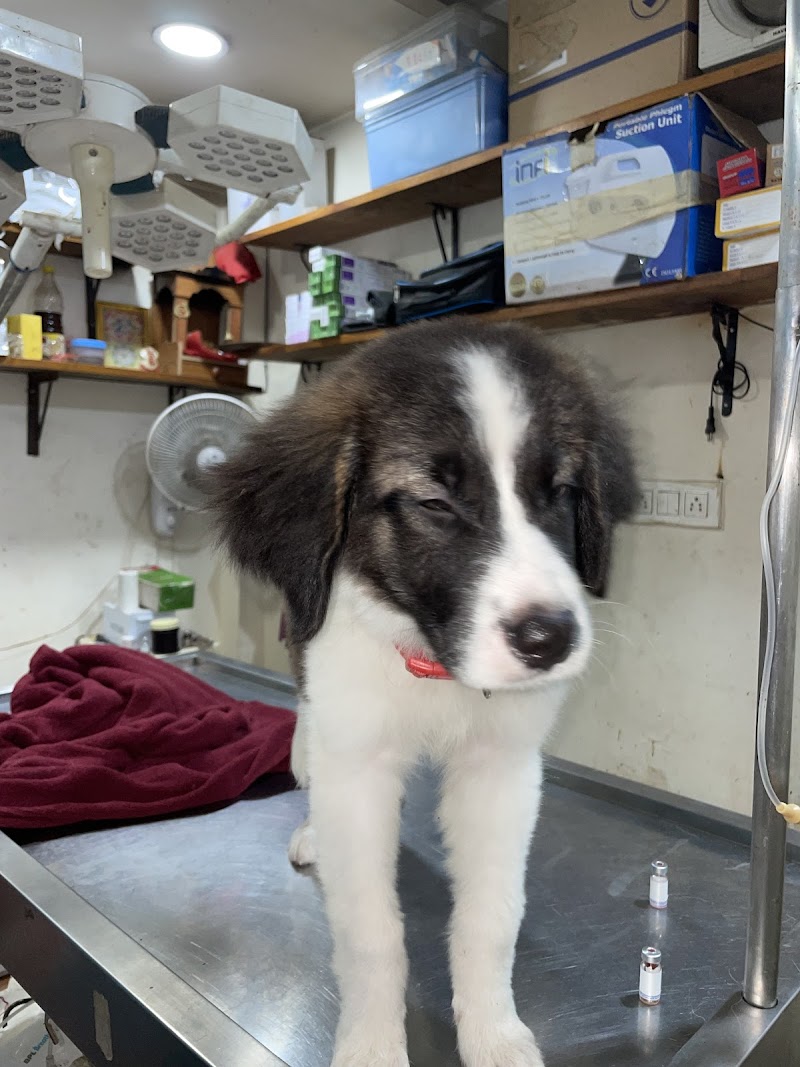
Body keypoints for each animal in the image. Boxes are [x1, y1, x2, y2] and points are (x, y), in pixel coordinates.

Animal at [210, 319, 636, 1067]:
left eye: (558, 491)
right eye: (435, 503)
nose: (548, 639)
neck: (435, 666)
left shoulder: (501, 772)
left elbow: (492, 918)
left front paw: (495, 1034)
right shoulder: (358, 766)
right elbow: (371, 935)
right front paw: (373, 1046)